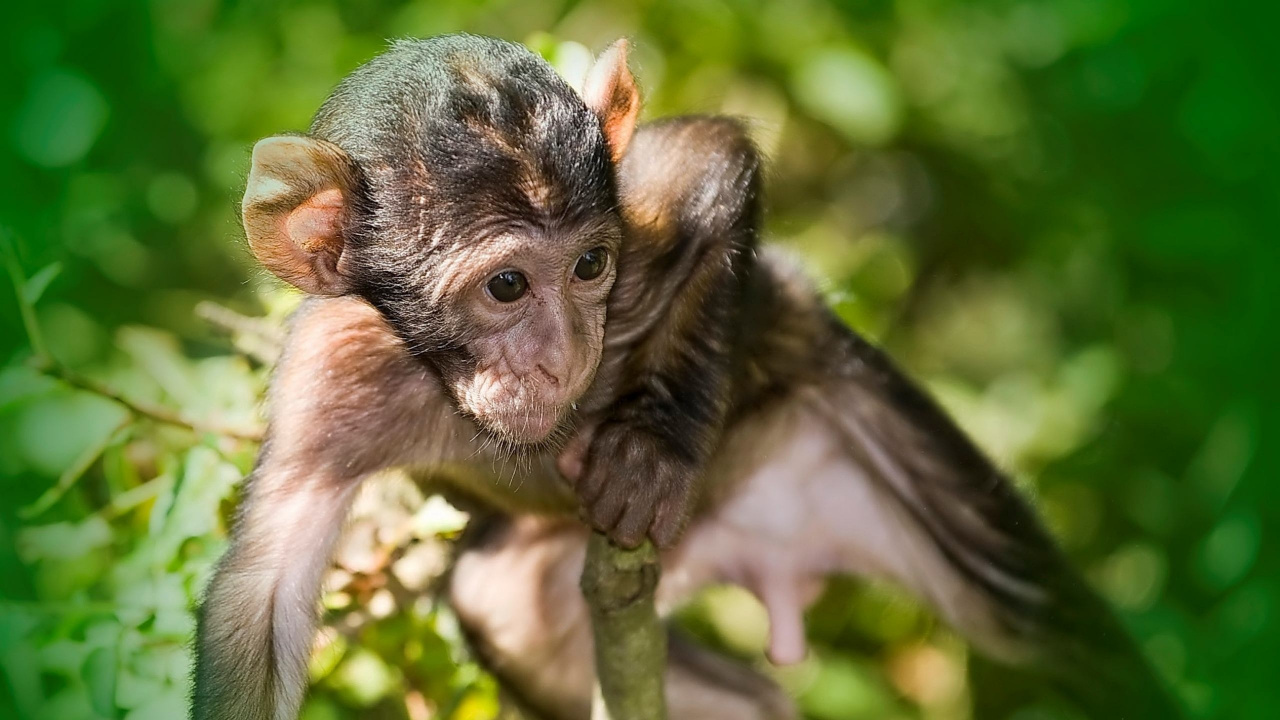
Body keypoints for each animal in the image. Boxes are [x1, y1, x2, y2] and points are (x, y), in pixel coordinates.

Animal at [192, 34, 1181, 720]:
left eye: (589, 266)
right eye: (506, 286)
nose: (562, 354)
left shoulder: (637, 224)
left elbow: (713, 156)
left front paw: (655, 443)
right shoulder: (331, 378)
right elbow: (261, 596)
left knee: (1051, 629)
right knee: (509, 610)